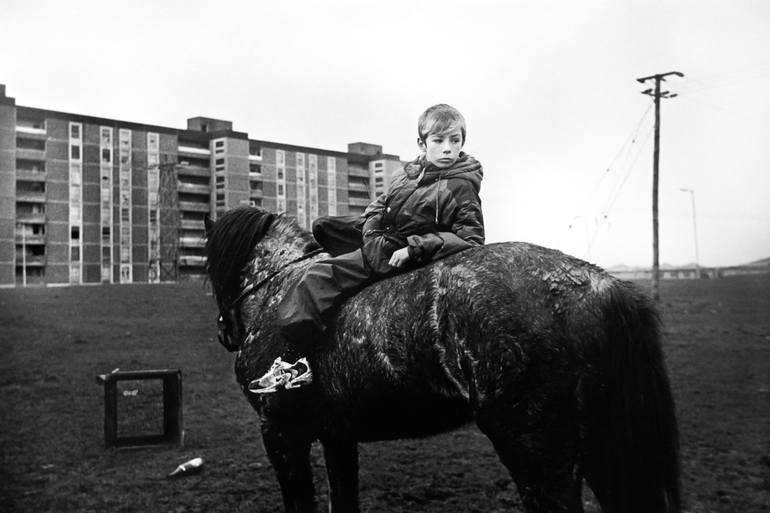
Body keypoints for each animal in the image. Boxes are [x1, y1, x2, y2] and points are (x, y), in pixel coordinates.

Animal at [204, 206, 680, 512]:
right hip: (603, 448)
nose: (225, 332)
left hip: (540, 456)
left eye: (210, 266)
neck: (280, 286)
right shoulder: (337, 434)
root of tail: (601, 285)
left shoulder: (282, 435)